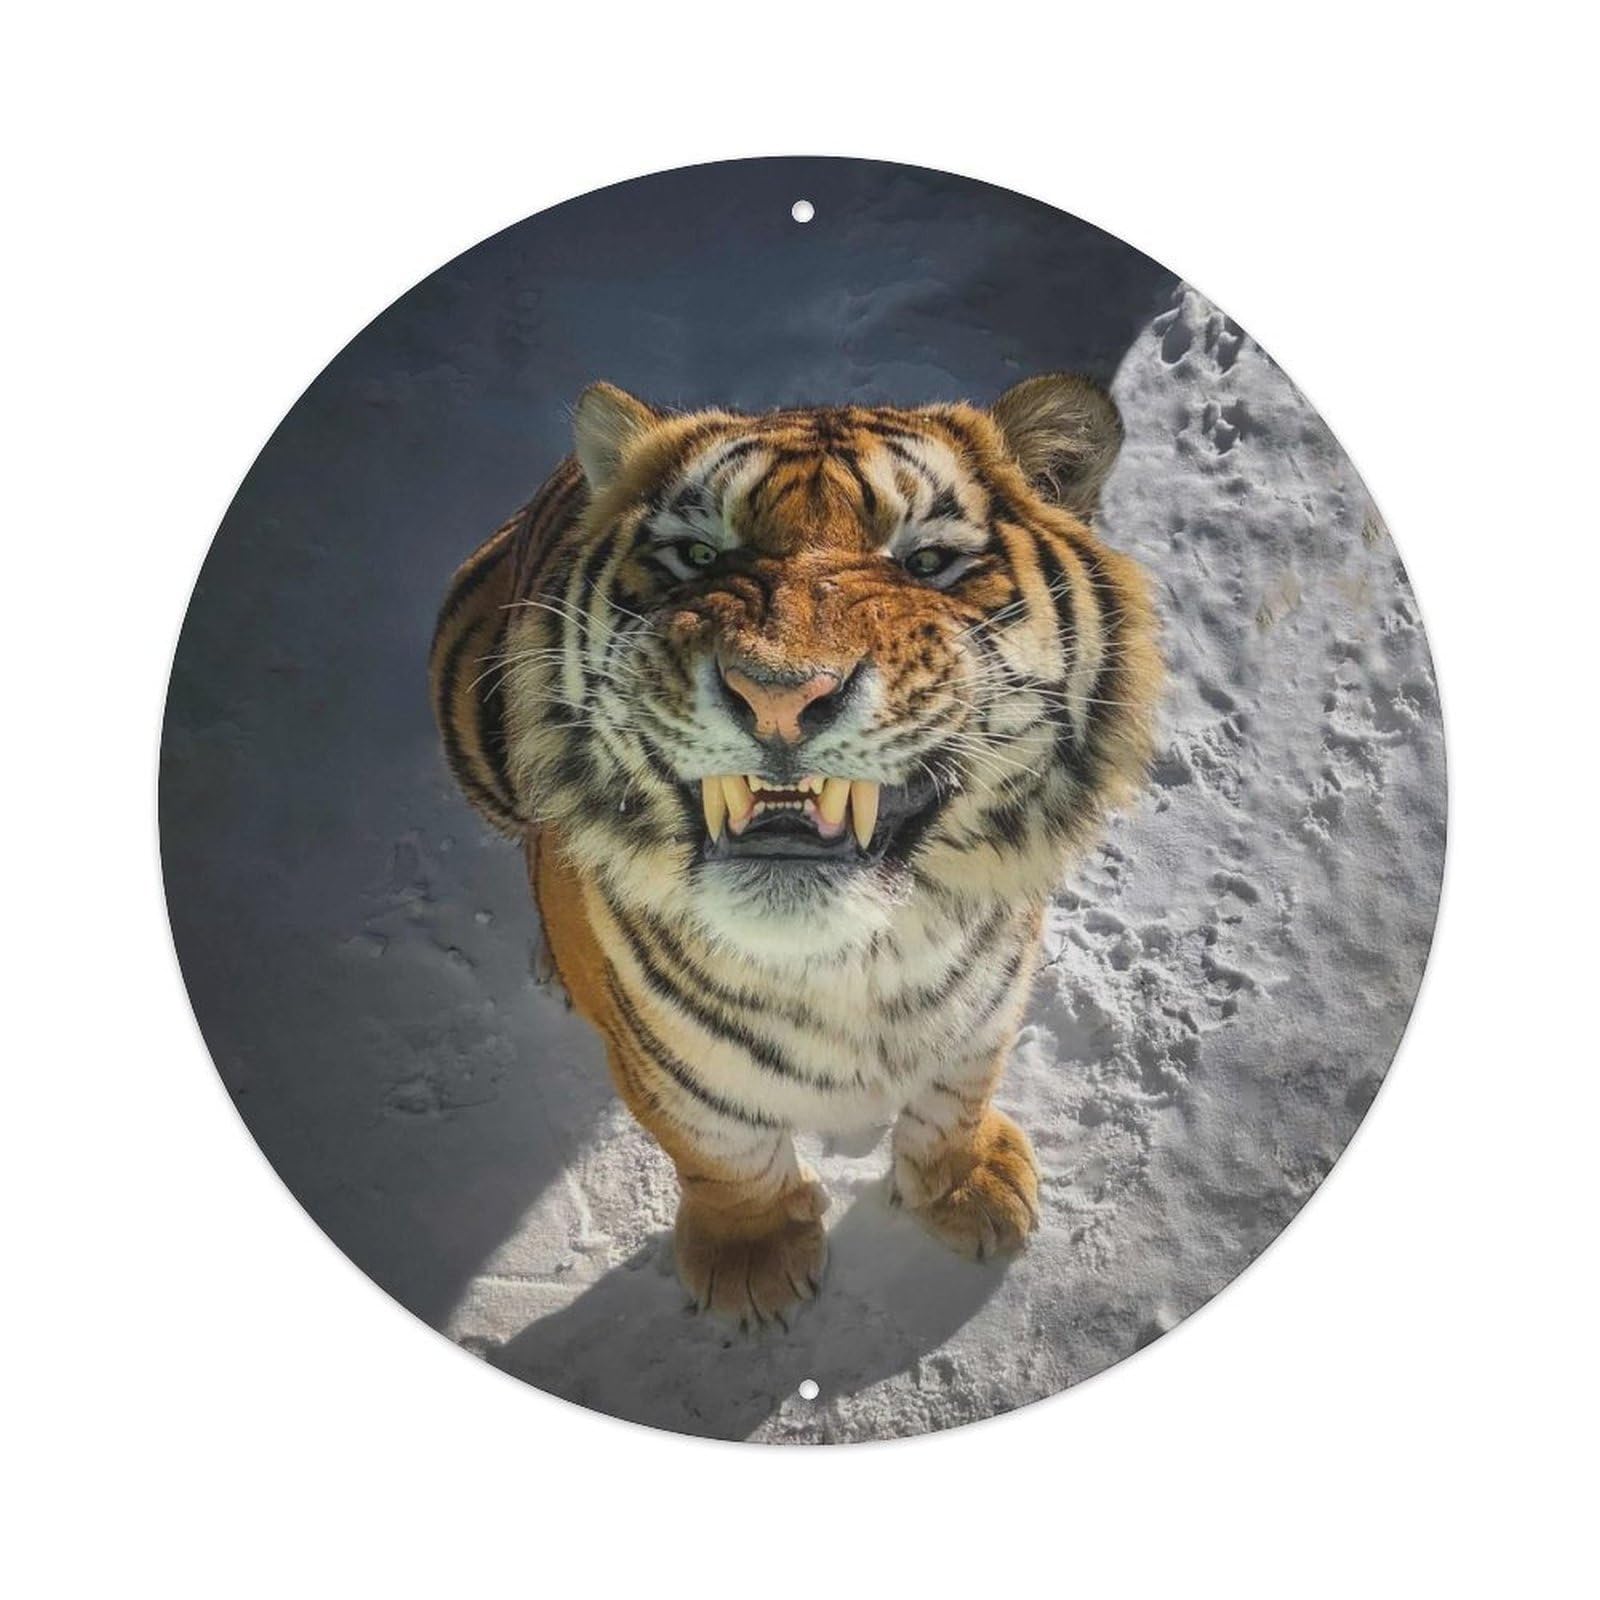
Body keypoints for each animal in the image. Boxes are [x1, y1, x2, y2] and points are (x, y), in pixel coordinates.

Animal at [430, 375, 1161, 1328]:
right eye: (698, 555)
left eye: (926, 562)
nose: (777, 694)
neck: (854, 963)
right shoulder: (665, 1062)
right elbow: (720, 1146)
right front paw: (754, 1261)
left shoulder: (988, 999)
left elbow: (958, 1090)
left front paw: (968, 1188)